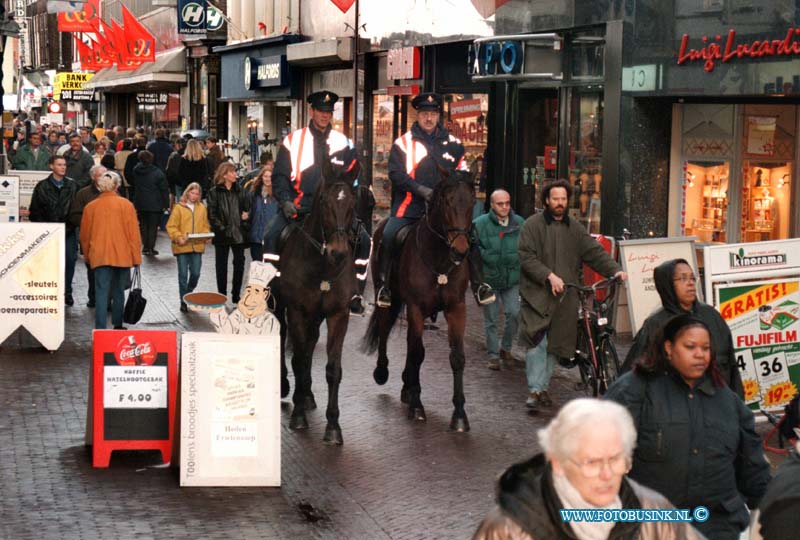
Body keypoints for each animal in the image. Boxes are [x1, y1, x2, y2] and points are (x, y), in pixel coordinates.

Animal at [274, 161, 358, 448]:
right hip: (281, 308)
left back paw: (308, 394)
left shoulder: (338, 315)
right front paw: (298, 416)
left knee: (310, 346)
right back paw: (287, 387)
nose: (339, 253)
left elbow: (333, 369)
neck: (322, 267)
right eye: (324, 201)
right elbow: (299, 360)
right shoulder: (297, 311)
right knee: (284, 340)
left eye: (352, 202)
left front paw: (333, 426)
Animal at [362, 171, 476, 432]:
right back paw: (382, 372)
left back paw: (407, 385)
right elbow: (417, 353)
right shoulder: (415, 307)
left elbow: (457, 357)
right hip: (387, 298)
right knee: (385, 330)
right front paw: (417, 406)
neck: (439, 259)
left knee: (408, 340)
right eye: (446, 202)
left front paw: (459, 415)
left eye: (472, 202)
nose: (461, 250)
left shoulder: (457, 308)